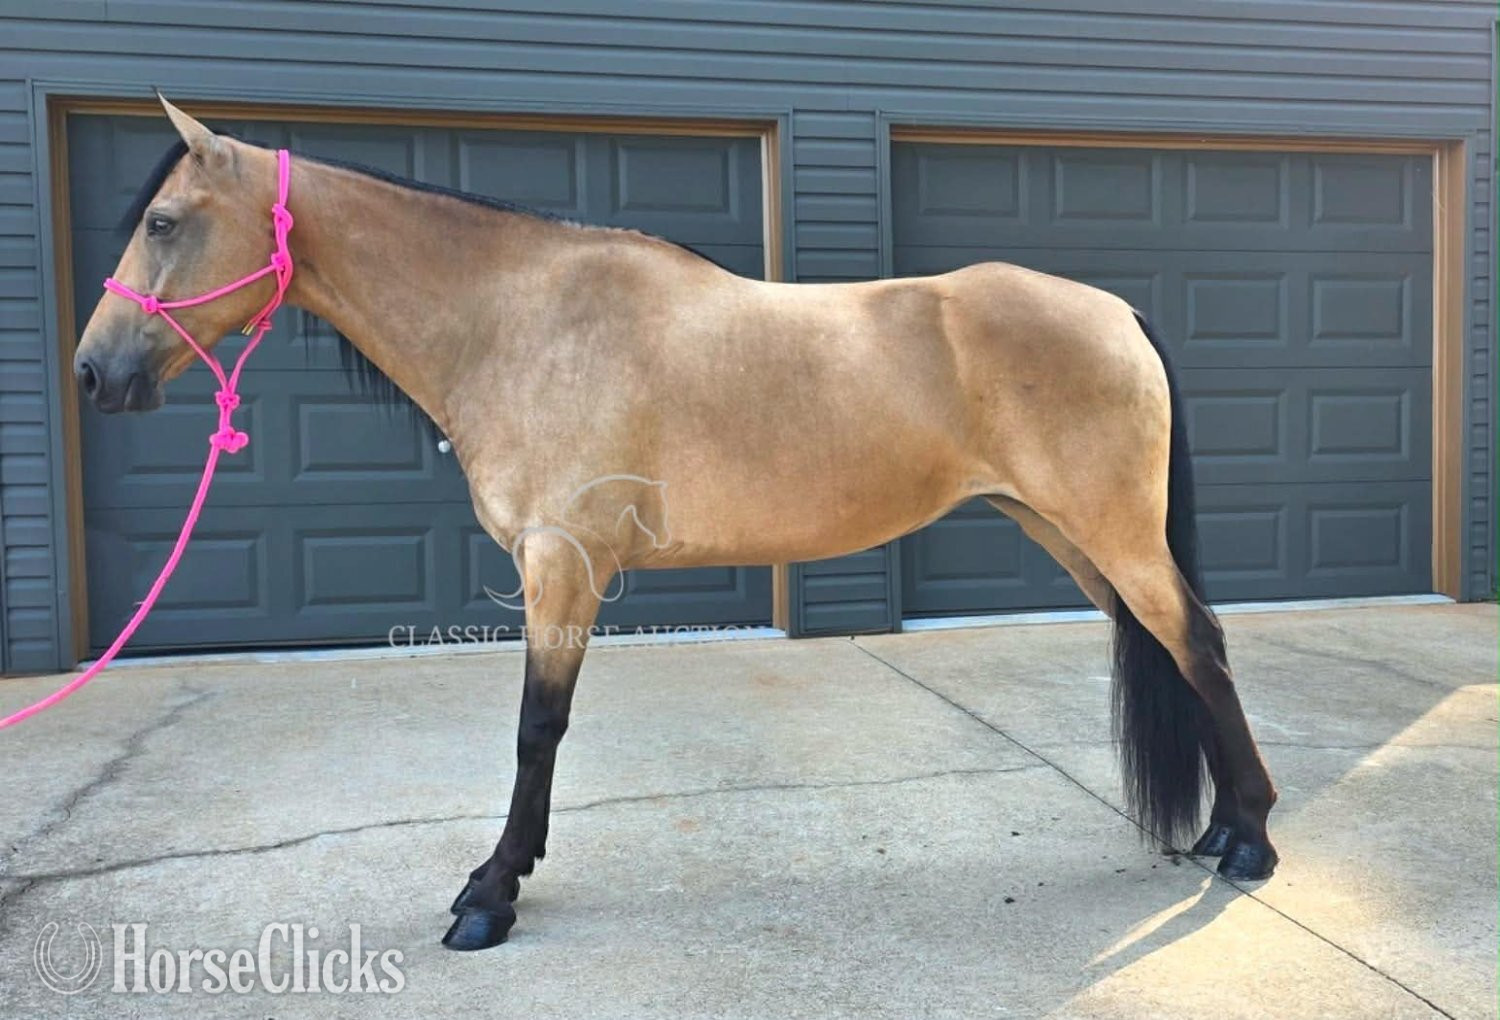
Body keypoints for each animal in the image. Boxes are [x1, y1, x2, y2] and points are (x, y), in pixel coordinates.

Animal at [73, 97, 1279, 951]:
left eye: (166, 224)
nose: (94, 373)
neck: (516, 321)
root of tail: (1116, 310)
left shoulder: (560, 565)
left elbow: (537, 728)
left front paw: (490, 895)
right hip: (1067, 534)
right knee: (1174, 649)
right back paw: (1224, 827)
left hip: (1110, 532)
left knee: (1200, 647)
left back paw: (1253, 841)